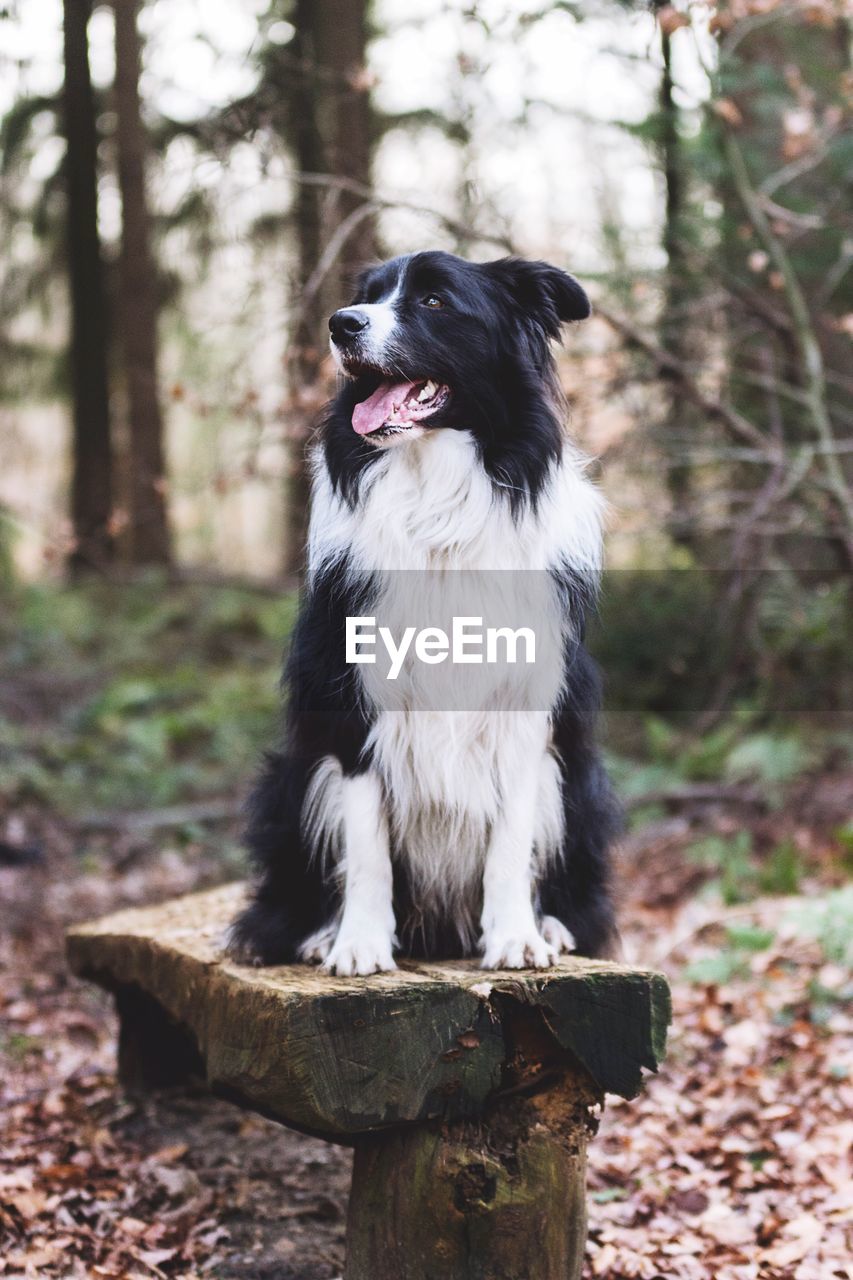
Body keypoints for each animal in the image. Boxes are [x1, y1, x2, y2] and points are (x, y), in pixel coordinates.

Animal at [229, 249, 617, 972]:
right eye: (369, 294)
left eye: (434, 300)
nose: (341, 323)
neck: (435, 504)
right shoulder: (349, 703)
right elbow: (366, 843)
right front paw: (358, 944)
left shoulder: (527, 710)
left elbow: (510, 842)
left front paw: (514, 936)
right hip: (289, 780)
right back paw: (315, 932)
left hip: (578, 783)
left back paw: (553, 924)